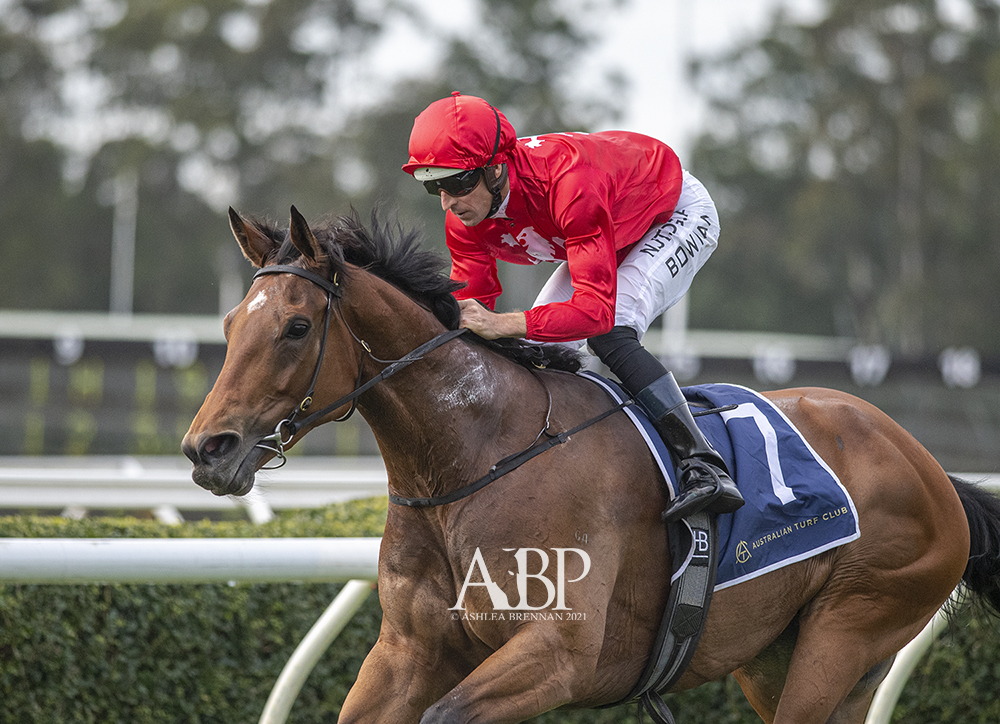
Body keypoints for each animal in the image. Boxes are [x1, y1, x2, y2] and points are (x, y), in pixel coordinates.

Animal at [183, 206, 1000, 724]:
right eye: (227, 324)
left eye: (295, 327)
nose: (205, 450)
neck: (470, 459)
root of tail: (932, 469)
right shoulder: (408, 651)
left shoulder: (557, 653)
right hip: (776, 653)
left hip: (850, 627)